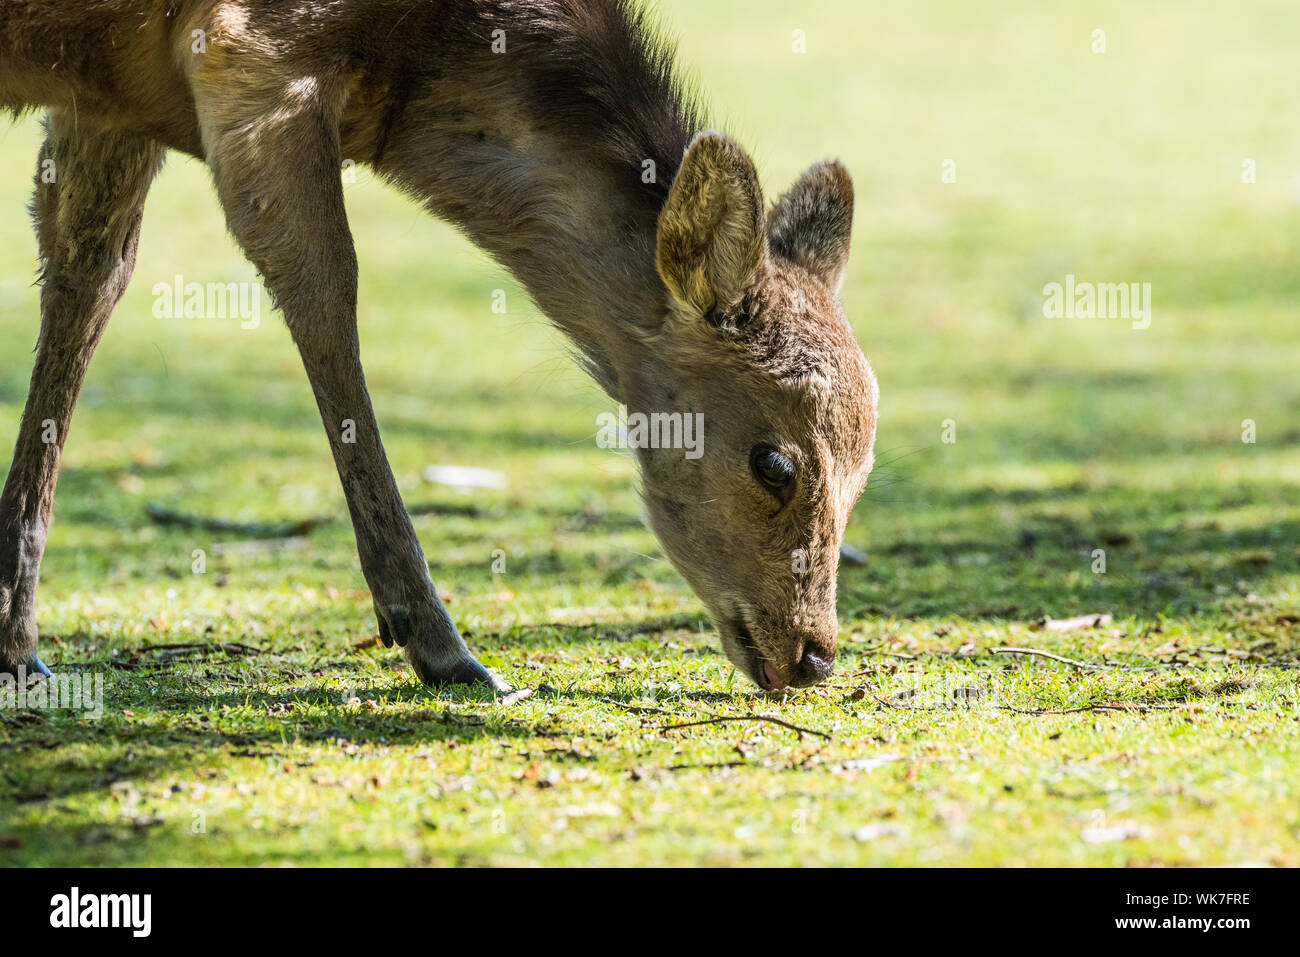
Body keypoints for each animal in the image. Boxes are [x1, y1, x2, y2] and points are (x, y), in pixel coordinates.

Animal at [0, 0, 878, 695]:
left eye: (866, 469)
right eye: (774, 463)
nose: (813, 655)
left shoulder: (110, 98)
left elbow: (86, 281)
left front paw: (15, 639)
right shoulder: (246, 54)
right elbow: (327, 294)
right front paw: (441, 645)